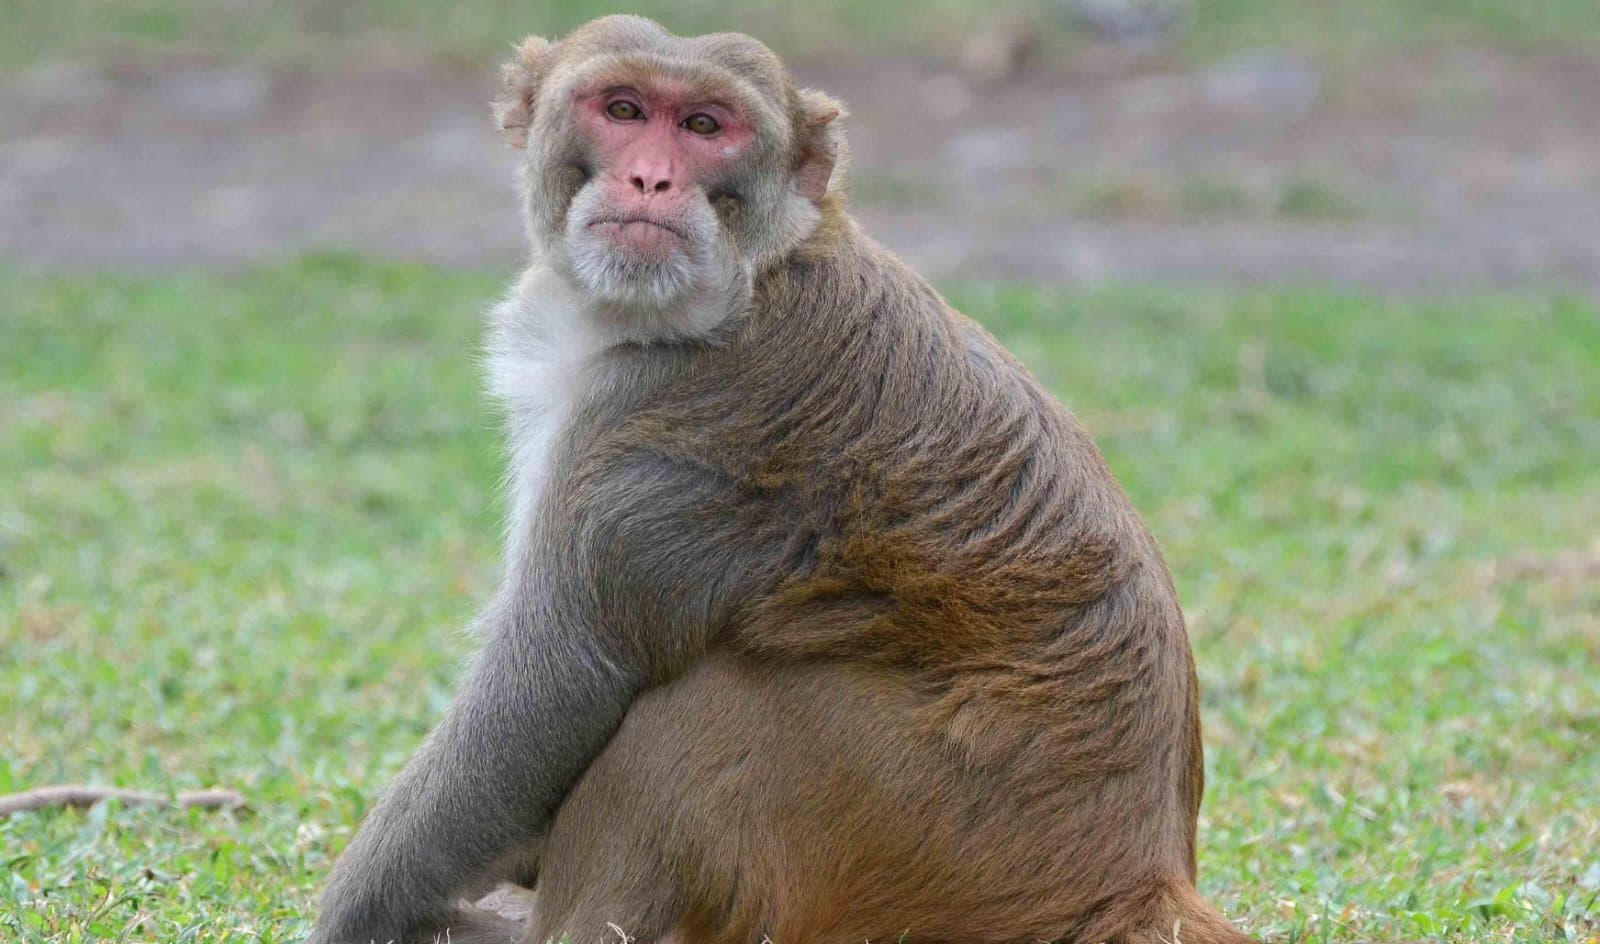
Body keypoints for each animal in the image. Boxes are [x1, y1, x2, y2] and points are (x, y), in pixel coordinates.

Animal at [306, 15, 1253, 944]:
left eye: (704, 126)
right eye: (622, 109)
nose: (650, 178)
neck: (749, 280)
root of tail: (1136, 879)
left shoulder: (664, 445)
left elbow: (555, 679)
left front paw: (361, 912)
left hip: (917, 828)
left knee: (693, 710)